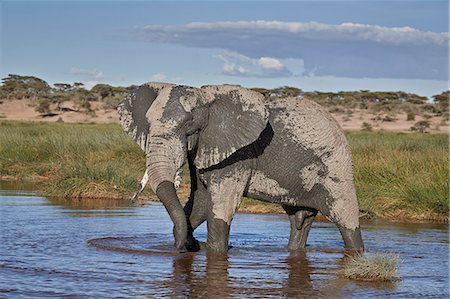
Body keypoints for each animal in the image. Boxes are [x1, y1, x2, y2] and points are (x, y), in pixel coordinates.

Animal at [118, 83, 364, 254]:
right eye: (148, 124)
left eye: (188, 125)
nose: (186, 247)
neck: (208, 100)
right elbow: (200, 203)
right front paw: (191, 241)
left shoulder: (239, 155)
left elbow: (220, 208)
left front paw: (213, 251)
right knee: (299, 220)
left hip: (335, 165)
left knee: (345, 218)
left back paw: (357, 252)